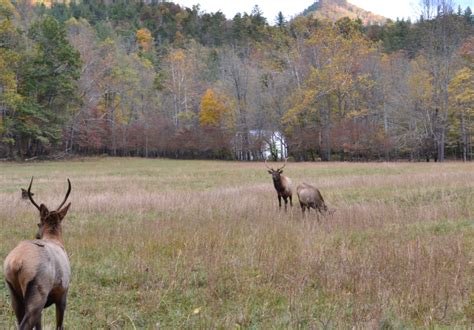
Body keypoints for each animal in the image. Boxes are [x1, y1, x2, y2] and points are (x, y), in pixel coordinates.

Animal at [3, 178, 71, 330]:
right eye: (39, 223)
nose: (37, 235)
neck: (56, 239)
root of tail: (16, 263)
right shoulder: (63, 293)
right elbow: (59, 325)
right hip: (38, 295)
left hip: (14, 294)